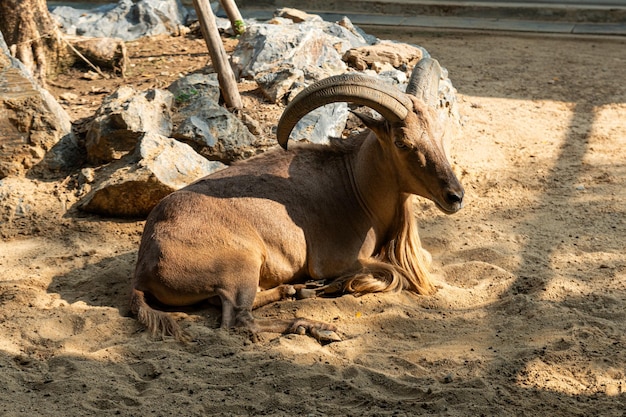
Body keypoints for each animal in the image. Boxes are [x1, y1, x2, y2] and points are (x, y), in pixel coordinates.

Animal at [130, 57, 464, 340]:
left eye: (440, 134)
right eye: (401, 142)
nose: (455, 196)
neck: (354, 184)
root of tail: (144, 267)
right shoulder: (338, 259)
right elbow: (393, 274)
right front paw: (335, 286)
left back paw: (293, 292)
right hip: (242, 265)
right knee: (239, 320)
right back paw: (315, 325)